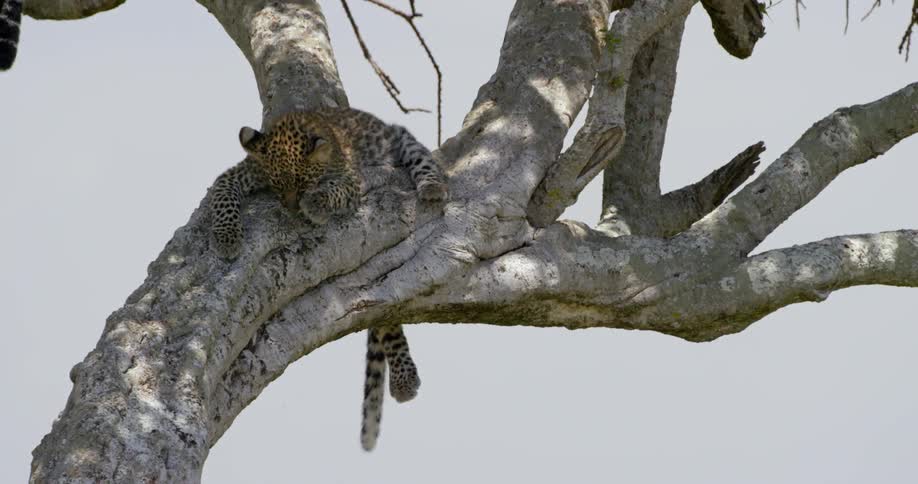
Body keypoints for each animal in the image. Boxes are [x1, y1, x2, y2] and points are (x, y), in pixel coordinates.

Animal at [207, 107, 446, 451]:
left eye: (303, 182)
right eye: (276, 185)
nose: (291, 207)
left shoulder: (350, 179)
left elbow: (334, 190)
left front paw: (315, 204)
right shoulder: (238, 173)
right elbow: (223, 196)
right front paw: (227, 238)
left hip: (401, 139)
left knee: (423, 160)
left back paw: (431, 188)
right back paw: (404, 380)